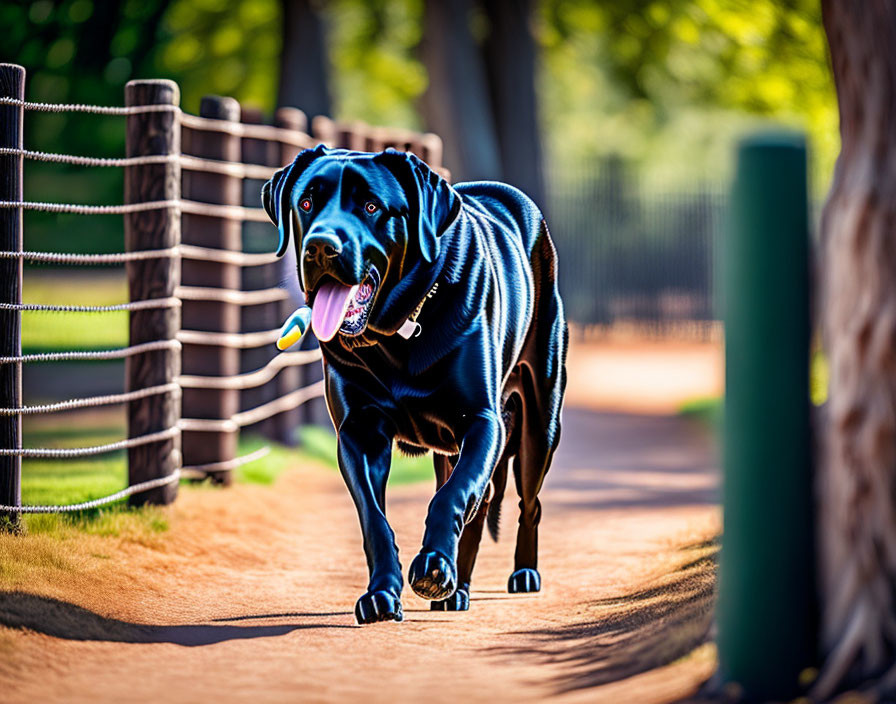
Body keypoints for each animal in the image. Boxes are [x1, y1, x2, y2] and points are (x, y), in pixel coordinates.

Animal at [262, 146, 568, 624]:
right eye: (307, 203)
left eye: (372, 207)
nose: (321, 246)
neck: (394, 337)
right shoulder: (359, 432)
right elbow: (375, 518)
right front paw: (381, 594)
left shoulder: (483, 422)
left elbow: (452, 497)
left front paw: (433, 567)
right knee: (478, 502)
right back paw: (457, 590)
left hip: (539, 425)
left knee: (525, 502)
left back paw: (520, 574)